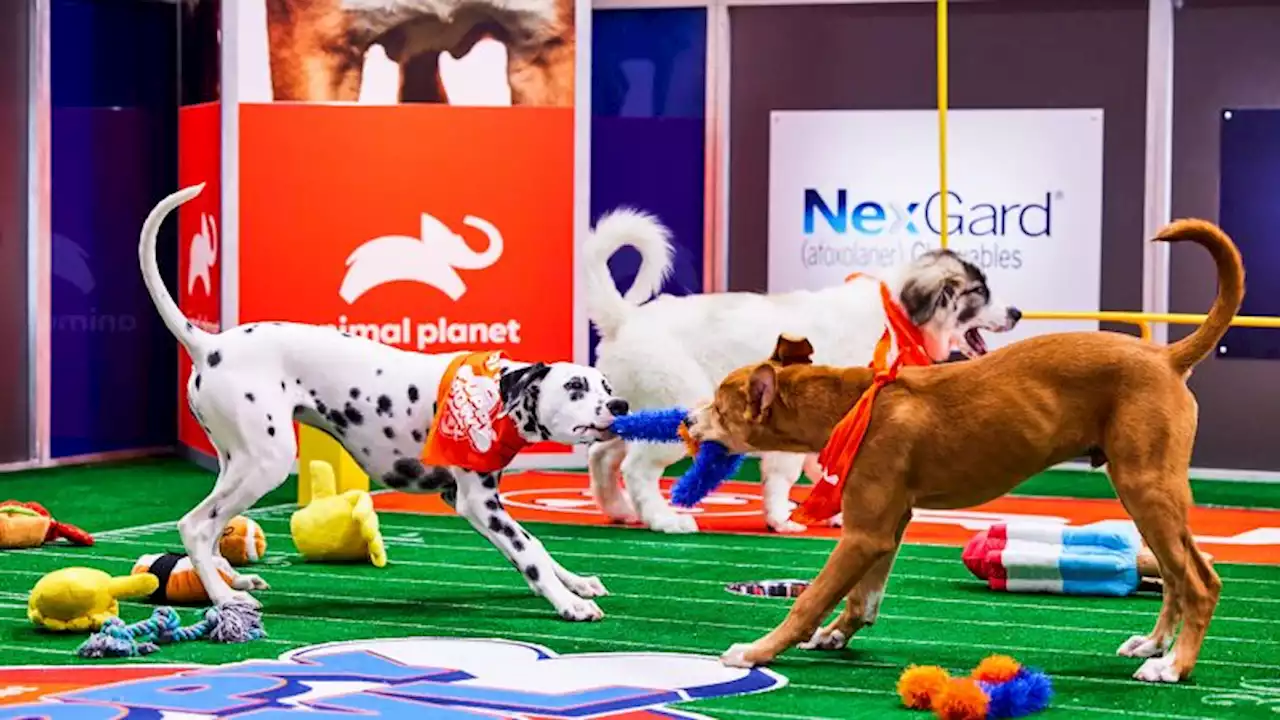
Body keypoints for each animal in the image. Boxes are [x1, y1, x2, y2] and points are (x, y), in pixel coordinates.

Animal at [140, 183, 629, 617]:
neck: (492, 395)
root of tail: (209, 344)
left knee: (212, 528)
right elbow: (528, 553)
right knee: (195, 526)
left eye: (606, 386)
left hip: (237, 465)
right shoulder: (477, 502)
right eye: (575, 387)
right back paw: (226, 599)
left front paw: (575, 583)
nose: (620, 406)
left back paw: (232, 581)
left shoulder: (471, 497)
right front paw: (568, 603)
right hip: (266, 463)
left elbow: (537, 546)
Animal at [586, 208, 1018, 532]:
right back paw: (663, 519)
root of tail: (624, 319)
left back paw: (620, 510)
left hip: (632, 409)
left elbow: (827, 467)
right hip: (677, 405)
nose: (1016, 312)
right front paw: (781, 518)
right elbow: (786, 472)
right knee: (636, 467)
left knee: (602, 454)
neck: (894, 317)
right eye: (979, 293)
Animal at [691, 220, 1239, 681]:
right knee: (1179, 573)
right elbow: (863, 598)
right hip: (1146, 495)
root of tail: (1165, 356)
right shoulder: (889, 527)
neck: (854, 402)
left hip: (1146, 488)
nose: (686, 420)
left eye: (719, 404)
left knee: (1201, 581)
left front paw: (756, 651)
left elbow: (810, 601)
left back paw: (1174, 666)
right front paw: (836, 635)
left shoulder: (863, 534)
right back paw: (1154, 645)